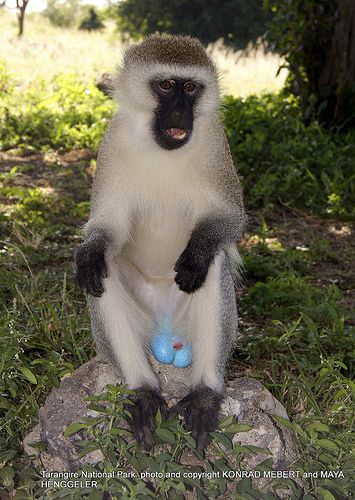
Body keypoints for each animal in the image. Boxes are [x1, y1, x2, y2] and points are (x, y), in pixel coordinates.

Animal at [76, 34, 246, 450]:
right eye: (167, 86)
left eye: (191, 88)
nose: (181, 112)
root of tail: (166, 329)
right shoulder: (113, 142)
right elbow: (107, 227)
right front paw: (90, 249)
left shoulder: (216, 141)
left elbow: (229, 220)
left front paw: (197, 252)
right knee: (102, 272)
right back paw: (142, 391)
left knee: (212, 264)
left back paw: (204, 394)